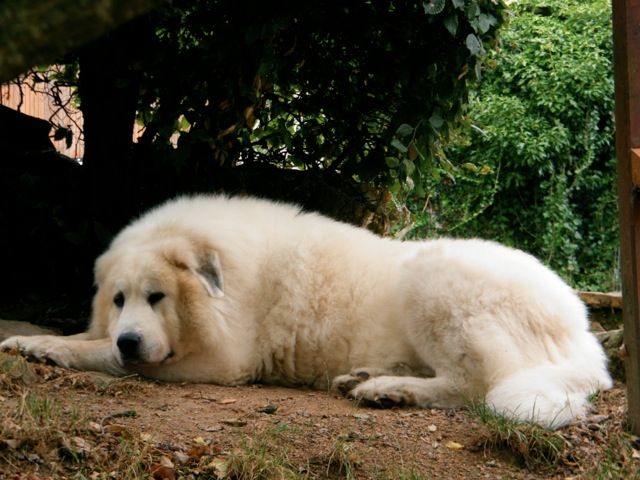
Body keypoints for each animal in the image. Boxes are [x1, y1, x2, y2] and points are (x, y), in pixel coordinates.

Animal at [0, 195, 608, 428]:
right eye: (119, 299)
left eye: (158, 298)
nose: (130, 337)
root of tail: (584, 331)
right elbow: (83, 335)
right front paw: (28, 335)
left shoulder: (219, 364)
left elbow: (95, 350)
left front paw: (44, 347)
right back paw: (366, 377)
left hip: (433, 279)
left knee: (474, 385)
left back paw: (388, 390)